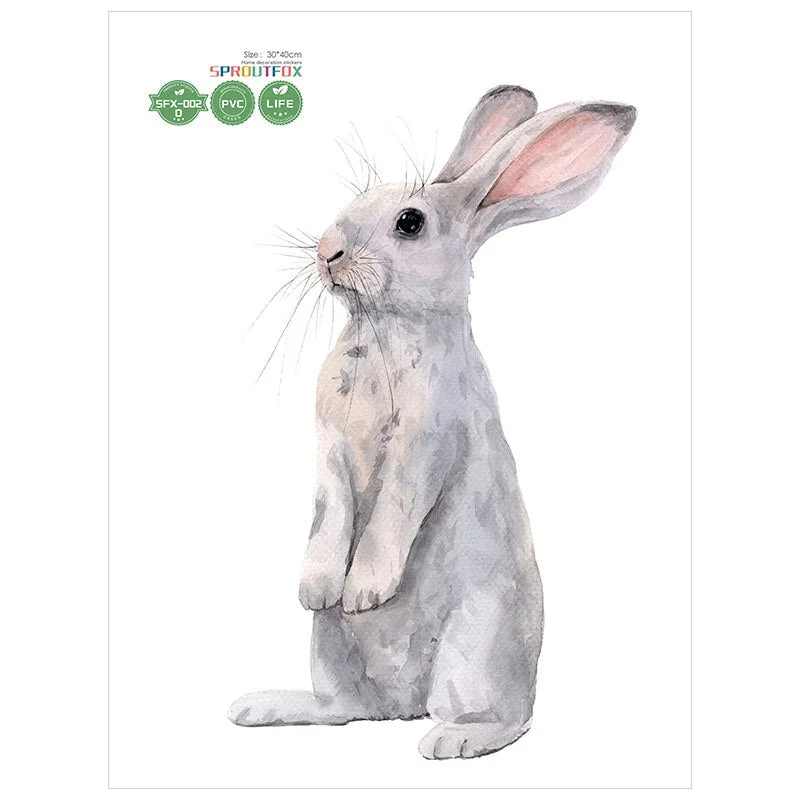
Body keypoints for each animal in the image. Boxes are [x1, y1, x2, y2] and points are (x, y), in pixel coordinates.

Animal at [228, 85, 636, 759]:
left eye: (410, 223)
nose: (326, 250)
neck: (386, 331)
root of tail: (405, 705)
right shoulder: (330, 450)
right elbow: (331, 510)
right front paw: (318, 588)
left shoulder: (426, 445)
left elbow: (393, 510)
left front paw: (364, 592)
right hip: (327, 647)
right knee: (343, 709)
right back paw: (260, 705)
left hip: (474, 646)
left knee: (508, 718)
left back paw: (453, 740)